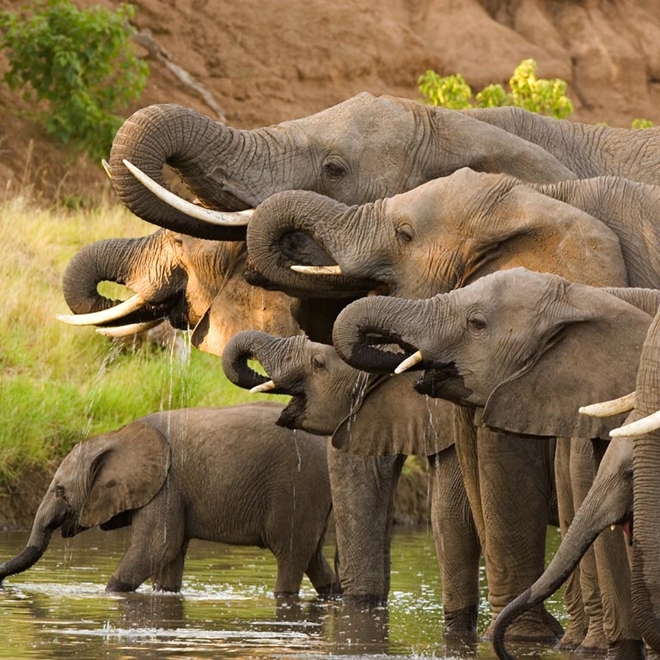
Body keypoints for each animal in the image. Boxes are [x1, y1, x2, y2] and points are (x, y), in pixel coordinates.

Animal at [0, 402, 340, 597]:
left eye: (59, 490)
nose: (2, 583)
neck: (116, 435)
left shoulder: (166, 485)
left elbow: (157, 547)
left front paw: (110, 593)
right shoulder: (171, 490)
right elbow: (169, 555)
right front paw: (164, 592)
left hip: (298, 489)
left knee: (290, 555)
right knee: (313, 557)